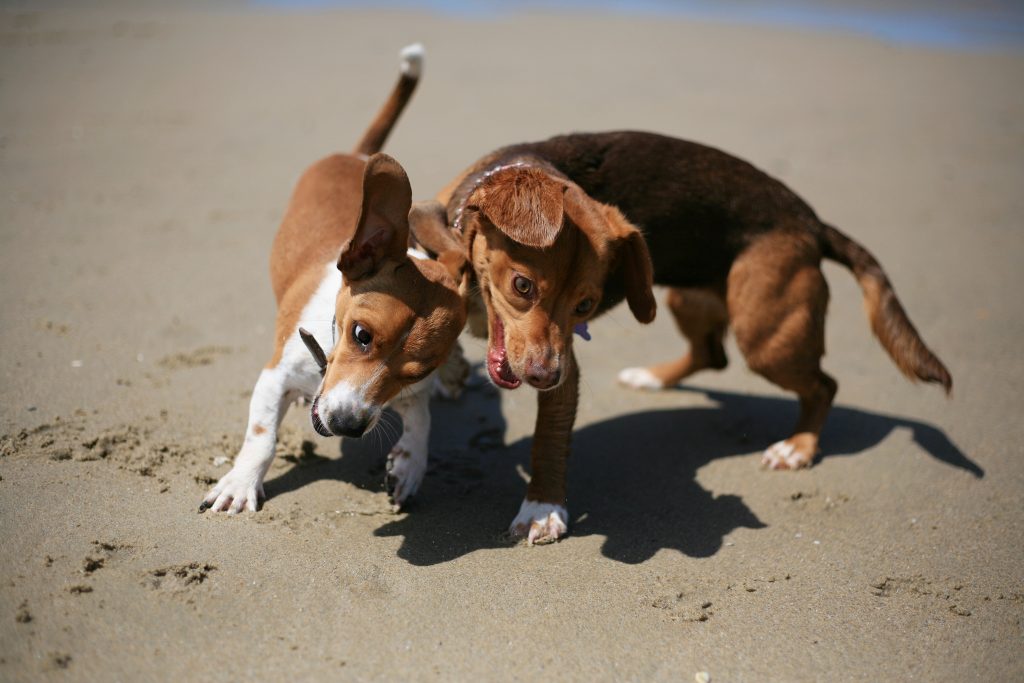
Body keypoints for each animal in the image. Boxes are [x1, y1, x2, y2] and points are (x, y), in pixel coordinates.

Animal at [196, 45, 468, 516]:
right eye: (361, 335)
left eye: (418, 369)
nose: (347, 425)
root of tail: (355, 155)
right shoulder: (273, 378)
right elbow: (261, 438)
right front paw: (242, 482)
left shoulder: (411, 392)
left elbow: (422, 417)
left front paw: (410, 462)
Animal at [413, 127, 950, 544]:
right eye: (522, 286)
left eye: (586, 305)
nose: (544, 377)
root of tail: (812, 222)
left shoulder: (567, 368)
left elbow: (549, 441)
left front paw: (542, 509)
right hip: (684, 298)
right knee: (712, 354)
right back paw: (653, 377)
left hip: (766, 336)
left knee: (822, 384)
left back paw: (797, 446)